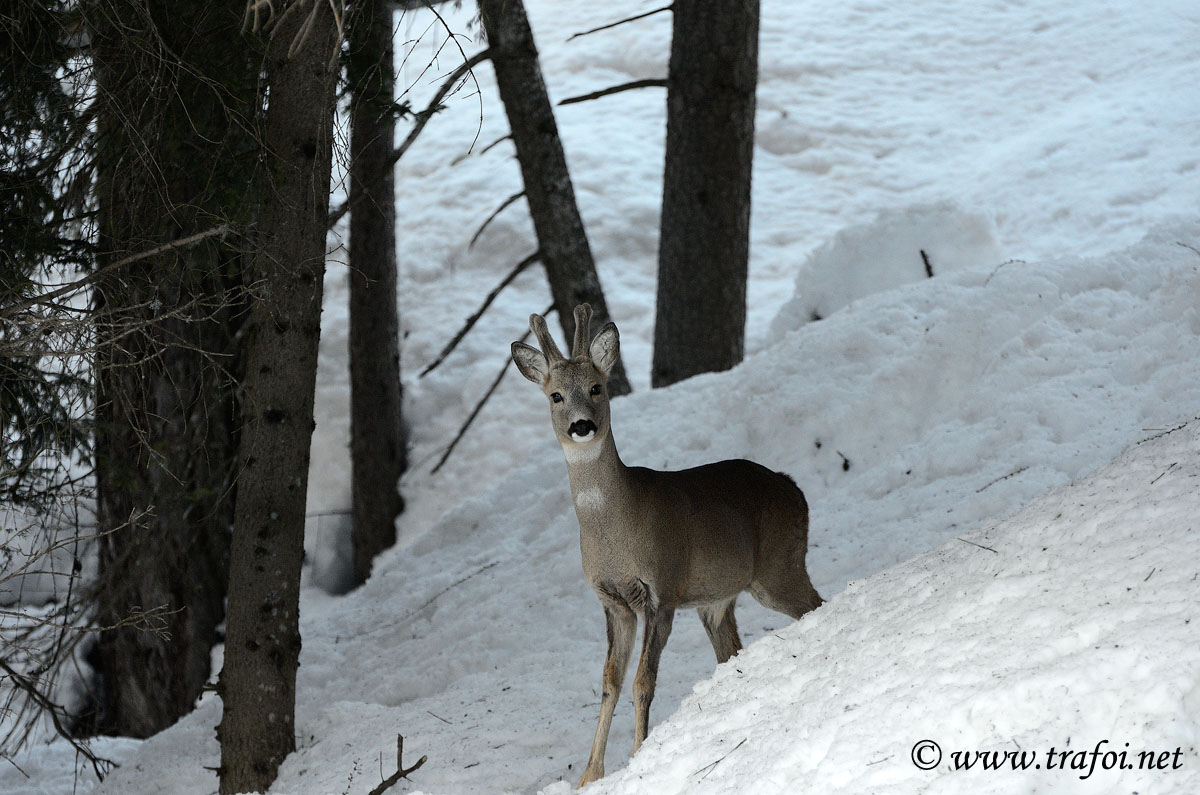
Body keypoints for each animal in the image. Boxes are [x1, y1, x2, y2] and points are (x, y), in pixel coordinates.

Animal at [511, 306, 820, 792]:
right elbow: (609, 680)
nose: (582, 426)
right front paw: (590, 776)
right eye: (556, 395)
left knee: (815, 602)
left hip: (779, 567)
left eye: (597, 387)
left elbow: (643, 682)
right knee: (731, 650)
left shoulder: (662, 590)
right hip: (717, 600)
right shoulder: (613, 602)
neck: (616, 532)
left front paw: (640, 757)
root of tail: (795, 489)